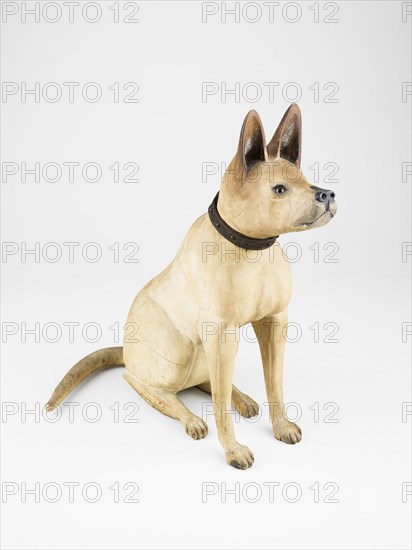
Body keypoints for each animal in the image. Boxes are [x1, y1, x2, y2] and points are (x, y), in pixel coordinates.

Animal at [45, 105, 334, 472]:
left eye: (307, 181)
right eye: (280, 189)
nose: (327, 194)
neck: (252, 248)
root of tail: (124, 351)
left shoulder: (274, 322)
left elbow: (275, 385)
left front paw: (281, 426)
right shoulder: (222, 336)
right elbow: (221, 409)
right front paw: (233, 450)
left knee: (207, 382)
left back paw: (242, 399)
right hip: (176, 357)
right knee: (141, 382)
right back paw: (191, 418)